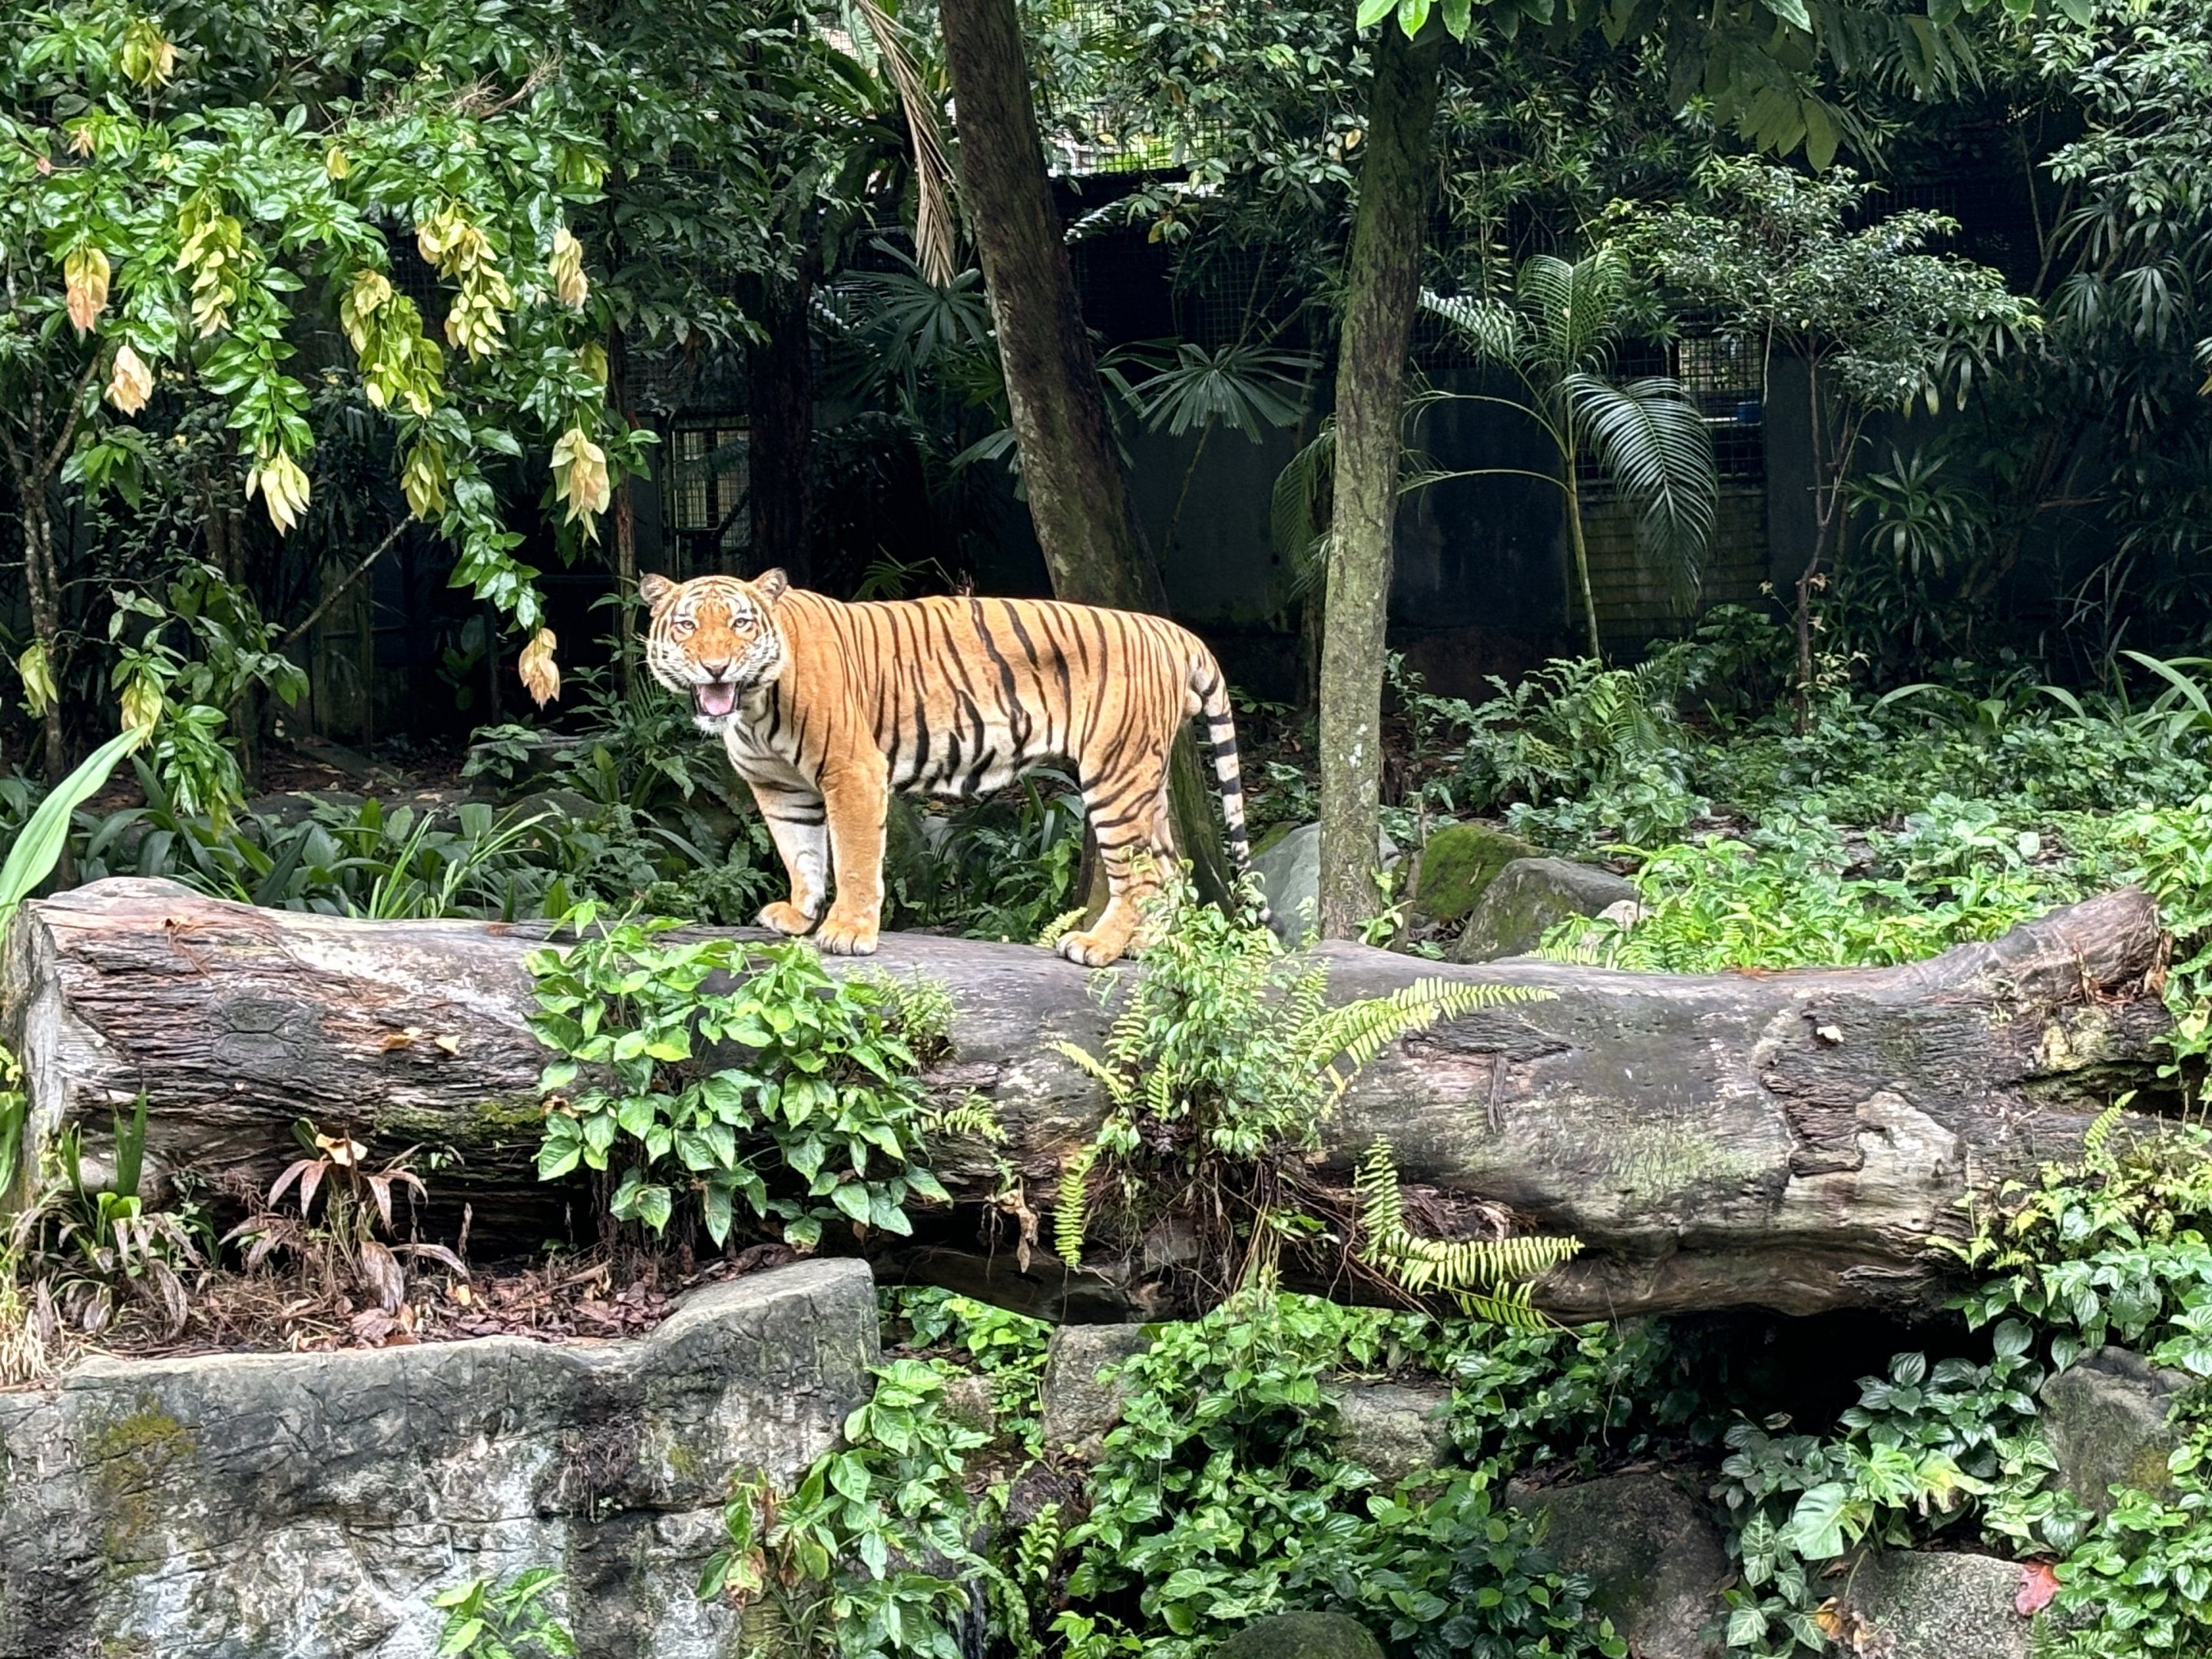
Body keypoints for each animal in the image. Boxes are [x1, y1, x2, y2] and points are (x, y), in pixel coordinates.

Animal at [638, 569, 1260, 966]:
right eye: (688, 626)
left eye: (741, 624)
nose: (716, 668)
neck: (750, 707)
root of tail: (1167, 629)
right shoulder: (777, 786)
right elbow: (801, 855)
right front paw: (799, 914)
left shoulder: (852, 770)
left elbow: (854, 859)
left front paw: (848, 931)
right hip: (1143, 780)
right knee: (1171, 869)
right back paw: (1141, 947)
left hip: (1115, 776)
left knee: (1144, 872)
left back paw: (1098, 947)